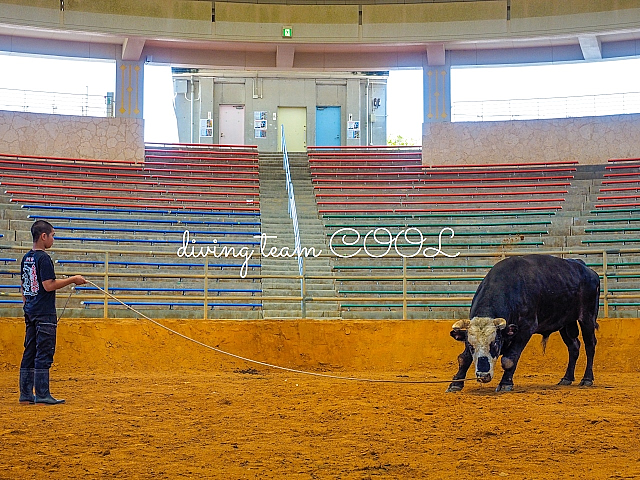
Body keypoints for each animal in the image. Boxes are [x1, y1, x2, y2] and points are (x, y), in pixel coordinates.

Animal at [444, 253, 600, 392]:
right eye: (471, 346)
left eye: (495, 344)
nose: (483, 375)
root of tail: (587, 269)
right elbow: (464, 358)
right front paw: (455, 384)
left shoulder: (525, 330)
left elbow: (509, 359)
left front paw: (505, 383)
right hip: (566, 323)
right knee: (574, 347)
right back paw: (566, 378)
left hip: (587, 317)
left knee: (590, 346)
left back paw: (587, 379)